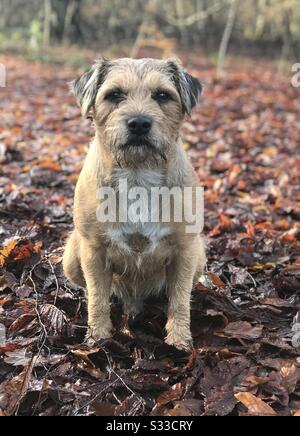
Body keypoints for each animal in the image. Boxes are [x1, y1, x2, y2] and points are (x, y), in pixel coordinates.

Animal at [63, 58, 206, 350]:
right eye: (114, 94)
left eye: (162, 95)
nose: (139, 123)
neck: (137, 173)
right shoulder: (93, 250)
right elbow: (97, 297)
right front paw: (97, 336)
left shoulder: (185, 250)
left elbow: (180, 299)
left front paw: (179, 340)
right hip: (70, 256)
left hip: (200, 255)